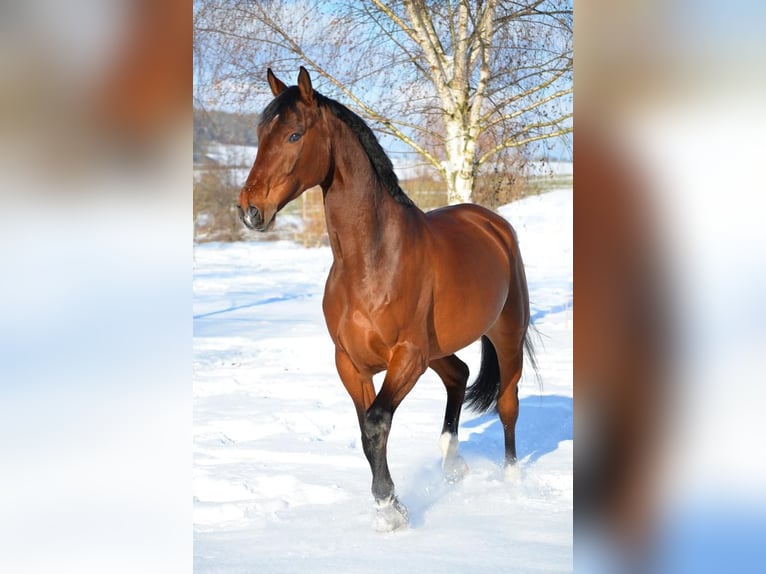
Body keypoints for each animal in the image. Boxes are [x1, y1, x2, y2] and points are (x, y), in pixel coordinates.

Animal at [237, 68, 536, 536]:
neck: (371, 261)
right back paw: (453, 464)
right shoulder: (351, 362)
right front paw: (388, 506)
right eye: (259, 133)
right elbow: (366, 429)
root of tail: (492, 223)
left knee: (508, 403)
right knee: (459, 375)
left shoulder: (407, 356)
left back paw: (511, 480)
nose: (250, 210)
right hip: (438, 349)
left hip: (505, 334)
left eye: (294, 135)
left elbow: (377, 422)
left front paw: (390, 509)